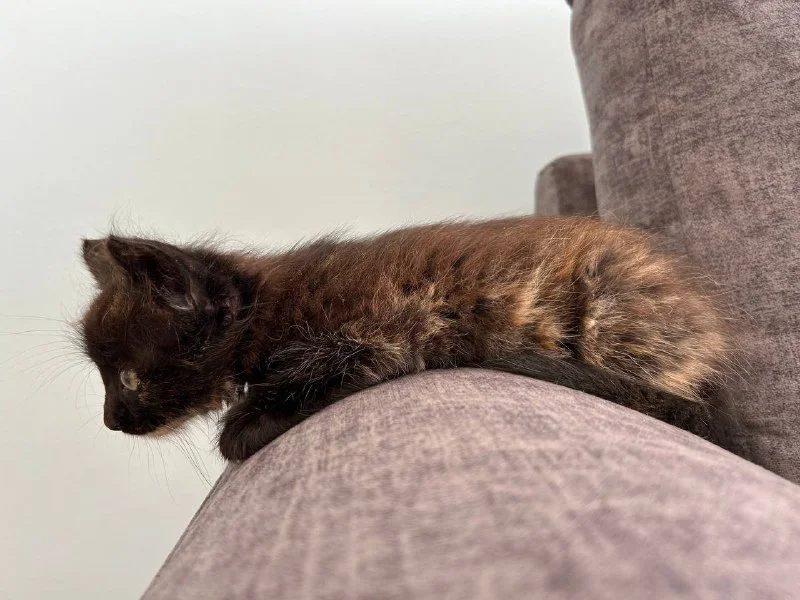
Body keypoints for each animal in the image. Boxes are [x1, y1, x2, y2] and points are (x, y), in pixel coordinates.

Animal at [79, 216, 741, 461]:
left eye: (129, 377)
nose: (110, 421)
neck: (264, 309)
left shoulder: (377, 334)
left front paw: (247, 423)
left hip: (608, 307)